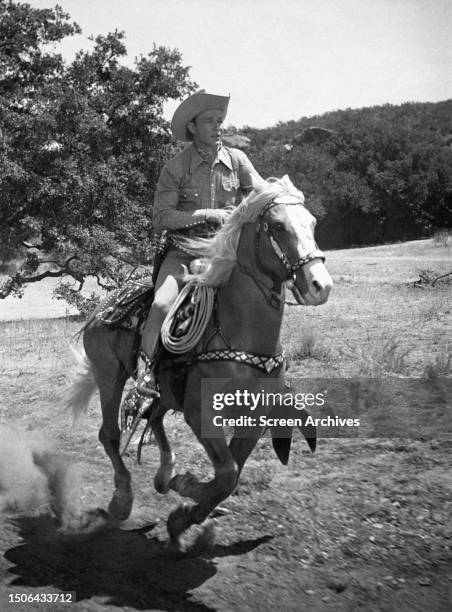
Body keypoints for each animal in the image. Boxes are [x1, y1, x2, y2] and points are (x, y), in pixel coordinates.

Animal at [67, 175, 334, 548]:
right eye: (279, 226)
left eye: (312, 223)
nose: (319, 285)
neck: (238, 331)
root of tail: (103, 306)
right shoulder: (199, 411)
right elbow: (226, 473)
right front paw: (187, 495)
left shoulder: (254, 417)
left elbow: (231, 475)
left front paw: (187, 509)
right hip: (110, 376)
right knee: (111, 435)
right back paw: (122, 500)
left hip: (163, 391)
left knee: (155, 417)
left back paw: (165, 474)